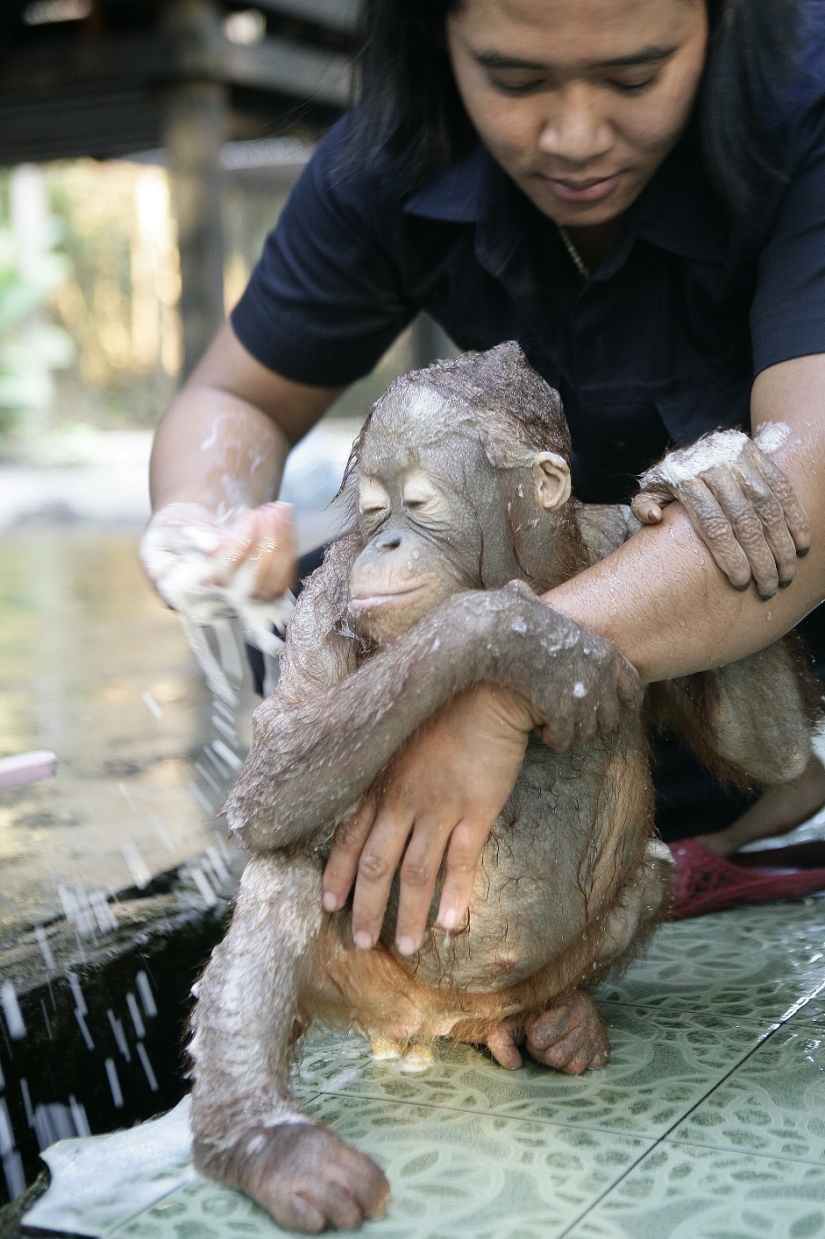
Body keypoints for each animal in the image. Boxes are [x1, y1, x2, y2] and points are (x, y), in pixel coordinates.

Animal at [187, 343, 816, 1233]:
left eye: (417, 504)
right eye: (374, 509)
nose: (384, 541)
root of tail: (436, 1022)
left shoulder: (613, 534)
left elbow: (771, 749)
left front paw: (709, 476)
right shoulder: (332, 590)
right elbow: (266, 780)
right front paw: (515, 637)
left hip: (519, 986)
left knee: (653, 868)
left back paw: (562, 1024)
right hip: (365, 984)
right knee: (283, 876)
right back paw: (268, 1144)